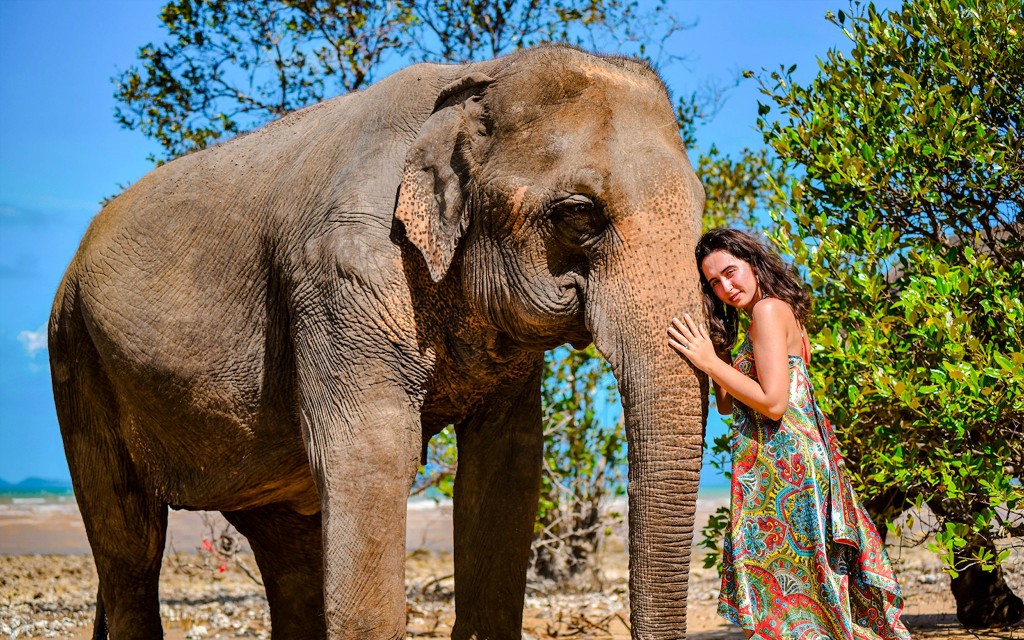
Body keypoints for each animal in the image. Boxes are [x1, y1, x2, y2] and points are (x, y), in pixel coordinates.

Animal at [48, 43, 708, 639]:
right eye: (578, 214)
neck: (476, 77)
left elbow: (508, 465)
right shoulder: (342, 277)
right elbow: (373, 452)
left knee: (287, 555)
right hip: (76, 356)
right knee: (129, 543)